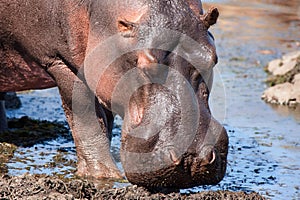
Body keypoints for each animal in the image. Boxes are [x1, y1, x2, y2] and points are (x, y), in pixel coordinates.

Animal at [0, 0, 229, 188]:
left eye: (212, 58)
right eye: (144, 63)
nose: (192, 157)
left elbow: (105, 123)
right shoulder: (61, 62)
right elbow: (87, 122)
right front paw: (105, 176)